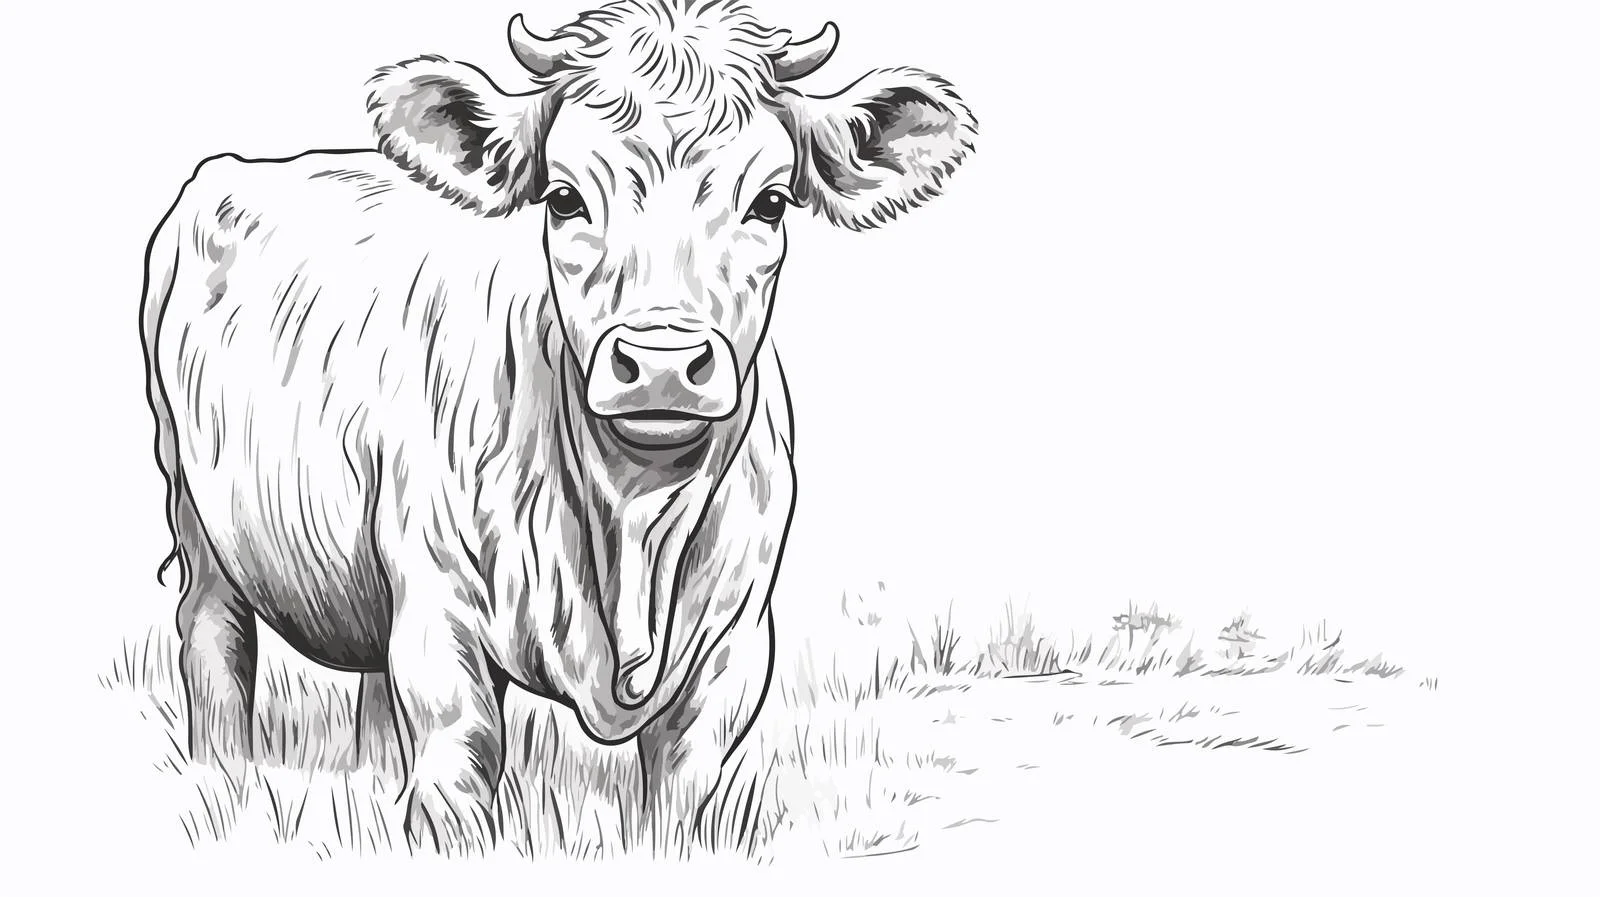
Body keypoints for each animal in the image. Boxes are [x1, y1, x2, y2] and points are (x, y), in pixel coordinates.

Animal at [139, 0, 976, 850]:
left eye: (770, 202)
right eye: (565, 198)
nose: (663, 361)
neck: (633, 520)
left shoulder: (734, 645)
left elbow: (684, 788)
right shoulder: (440, 607)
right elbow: (461, 757)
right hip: (194, 510)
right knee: (215, 642)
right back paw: (221, 774)